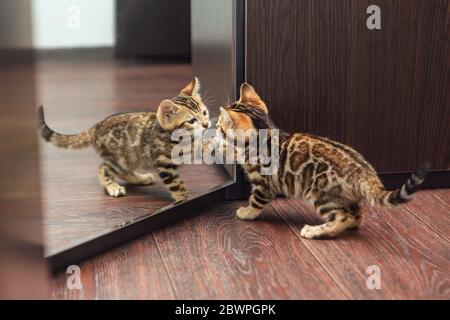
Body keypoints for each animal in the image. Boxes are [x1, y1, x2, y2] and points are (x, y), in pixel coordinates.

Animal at [38, 78, 209, 201]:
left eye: (205, 113)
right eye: (192, 121)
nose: (207, 124)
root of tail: (97, 127)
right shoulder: (164, 163)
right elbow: (176, 185)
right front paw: (185, 199)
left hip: (129, 158)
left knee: (122, 171)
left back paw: (141, 178)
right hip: (119, 159)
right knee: (103, 168)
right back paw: (113, 186)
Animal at [216, 84, 428, 239]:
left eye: (220, 126)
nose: (216, 125)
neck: (266, 135)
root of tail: (365, 172)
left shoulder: (263, 185)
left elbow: (256, 202)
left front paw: (247, 212)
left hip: (323, 196)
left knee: (342, 217)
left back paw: (315, 231)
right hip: (344, 198)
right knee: (357, 214)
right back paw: (349, 224)